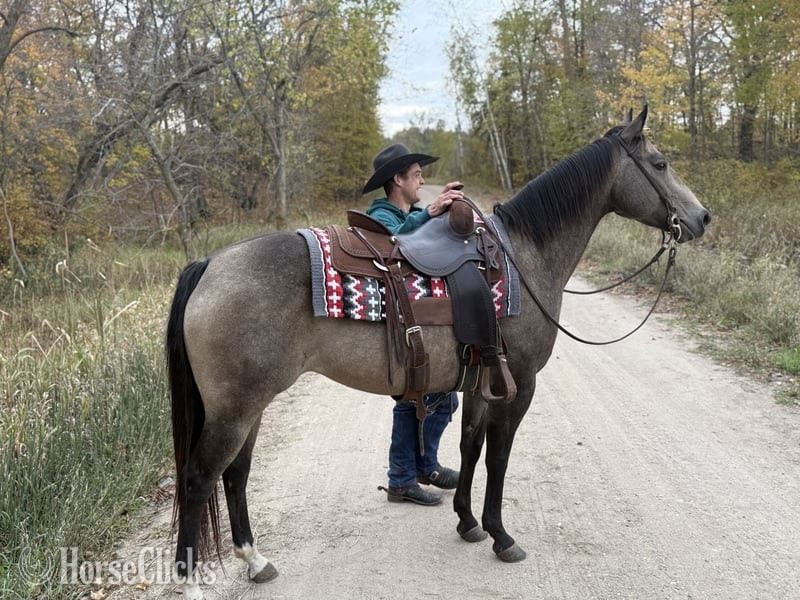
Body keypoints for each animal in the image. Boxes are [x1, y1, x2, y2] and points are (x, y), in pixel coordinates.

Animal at [166, 107, 710, 599]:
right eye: (660, 163)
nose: (702, 218)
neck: (526, 255)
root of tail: (210, 264)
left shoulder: (481, 382)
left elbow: (470, 447)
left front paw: (467, 521)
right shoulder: (520, 384)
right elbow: (499, 457)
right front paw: (501, 535)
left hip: (251, 406)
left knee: (236, 474)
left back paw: (256, 560)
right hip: (234, 410)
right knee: (197, 479)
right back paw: (192, 583)